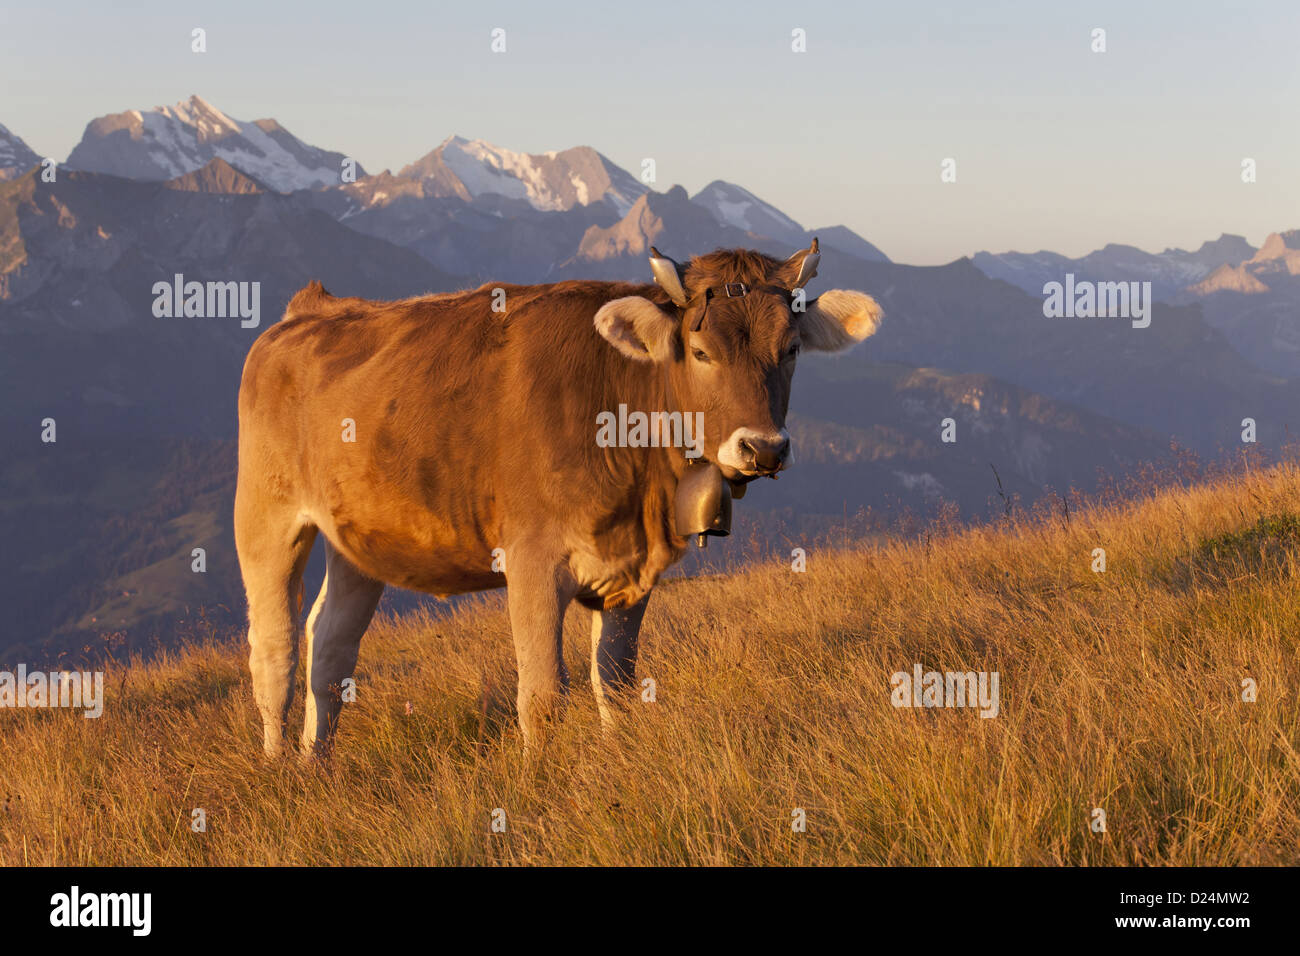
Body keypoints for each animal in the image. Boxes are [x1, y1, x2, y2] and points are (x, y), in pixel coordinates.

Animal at [234, 240, 882, 759]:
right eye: (701, 353)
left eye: (791, 350)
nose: (764, 448)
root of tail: (312, 309)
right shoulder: (532, 559)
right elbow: (542, 695)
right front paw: (534, 785)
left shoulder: (630, 570)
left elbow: (615, 684)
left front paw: (619, 760)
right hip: (265, 518)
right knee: (275, 652)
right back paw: (277, 767)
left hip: (360, 538)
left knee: (330, 647)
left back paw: (317, 763)